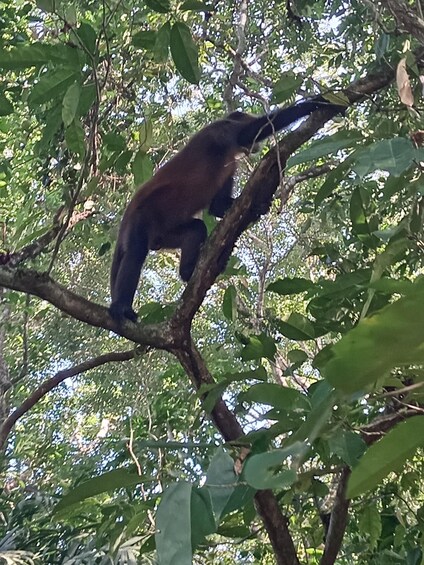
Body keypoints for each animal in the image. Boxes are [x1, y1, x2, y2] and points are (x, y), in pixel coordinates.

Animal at [109, 94, 344, 320]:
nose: (257, 149)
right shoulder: (222, 130)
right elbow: (251, 132)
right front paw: (316, 103)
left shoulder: (230, 162)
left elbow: (217, 208)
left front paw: (257, 207)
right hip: (142, 217)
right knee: (136, 253)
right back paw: (121, 306)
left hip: (163, 234)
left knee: (195, 229)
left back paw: (188, 272)